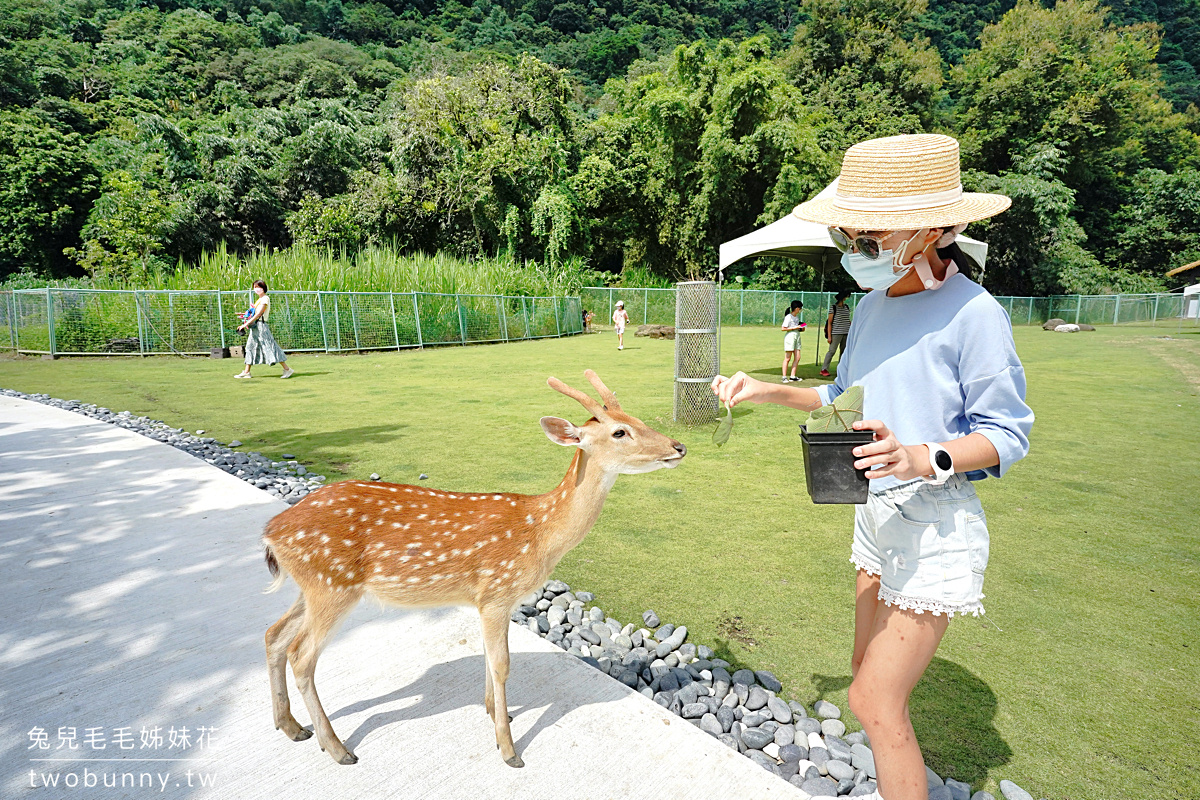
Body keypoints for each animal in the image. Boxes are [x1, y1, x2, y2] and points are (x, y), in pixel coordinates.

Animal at [261, 371, 686, 767]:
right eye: (620, 431)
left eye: (637, 418)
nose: (679, 446)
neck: (540, 534)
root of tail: (271, 531)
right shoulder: (497, 591)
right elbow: (502, 665)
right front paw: (508, 749)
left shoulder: (490, 601)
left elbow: (487, 656)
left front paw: (497, 715)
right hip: (333, 584)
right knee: (302, 655)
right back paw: (337, 748)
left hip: (313, 586)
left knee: (274, 634)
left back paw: (291, 726)